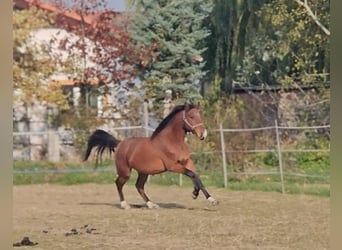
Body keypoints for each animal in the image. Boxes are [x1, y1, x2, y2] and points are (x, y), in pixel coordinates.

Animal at [84, 102, 218, 209]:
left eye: (200, 116)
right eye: (191, 116)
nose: (203, 134)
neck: (173, 141)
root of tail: (120, 143)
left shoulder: (187, 162)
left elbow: (196, 177)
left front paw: (207, 198)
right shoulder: (173, 166)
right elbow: (192, 175)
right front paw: (198, 195)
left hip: (143, 172)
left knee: (139, 186)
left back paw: (151, 204)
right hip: (125, 172)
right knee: (119, 183)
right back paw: (125, 205)